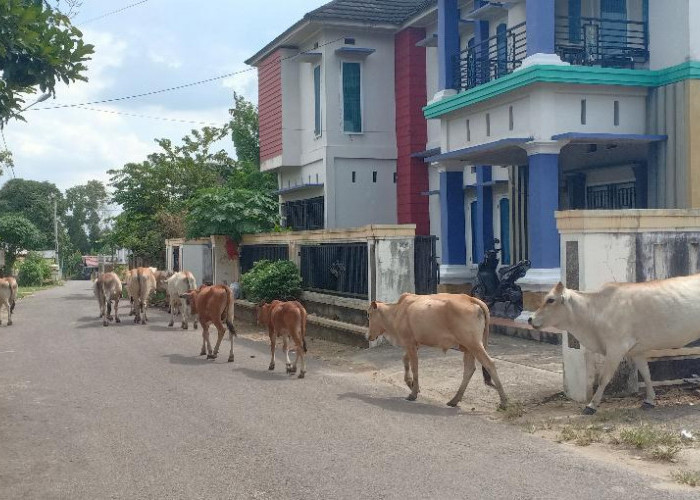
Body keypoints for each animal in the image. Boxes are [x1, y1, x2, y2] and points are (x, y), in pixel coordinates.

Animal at [366, 292, 508, 406]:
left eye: (369, 315)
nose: (368, 336)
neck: (397, 312)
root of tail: (470, 298)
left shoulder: (409, 342)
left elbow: (414, 367)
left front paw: (413, 392)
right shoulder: (414, 343)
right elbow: (405, 360)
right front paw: (410, 383)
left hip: (474, 344)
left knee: (489, 364)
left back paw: (504, 401)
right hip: (468, 347)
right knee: (469, 369)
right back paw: (454, 400)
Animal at [528, 278, 700, 414]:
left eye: (550, 300)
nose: (530, 319)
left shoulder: (616, 348)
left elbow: (604, 378)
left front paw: (591, 405)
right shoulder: (636, 351)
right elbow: (646, 374)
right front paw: (649, 400)